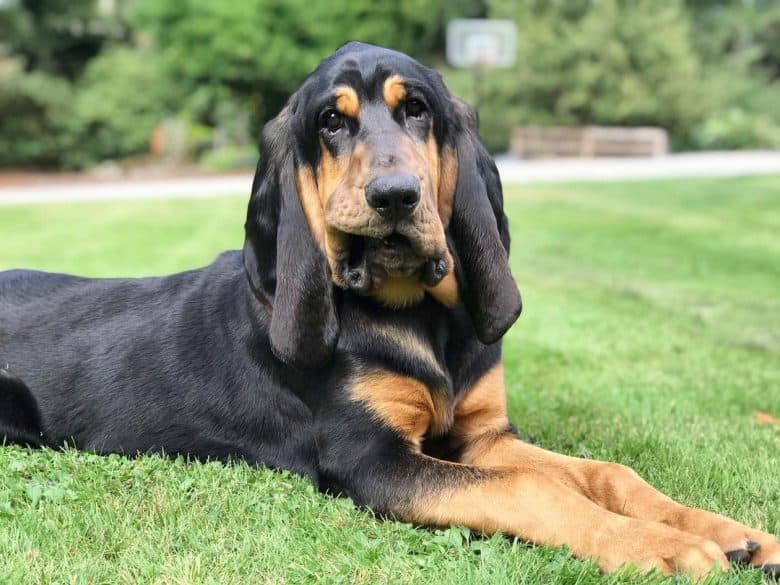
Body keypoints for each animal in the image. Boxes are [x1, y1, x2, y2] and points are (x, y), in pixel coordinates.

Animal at [1, 43, 780, 576]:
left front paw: (727, 531)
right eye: (331, 122)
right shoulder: (369, 458)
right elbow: (532, 489)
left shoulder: (483, 435)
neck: (414, 316)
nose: (397, 197)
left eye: (417, 110)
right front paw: (665, 546)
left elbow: (604, 472)